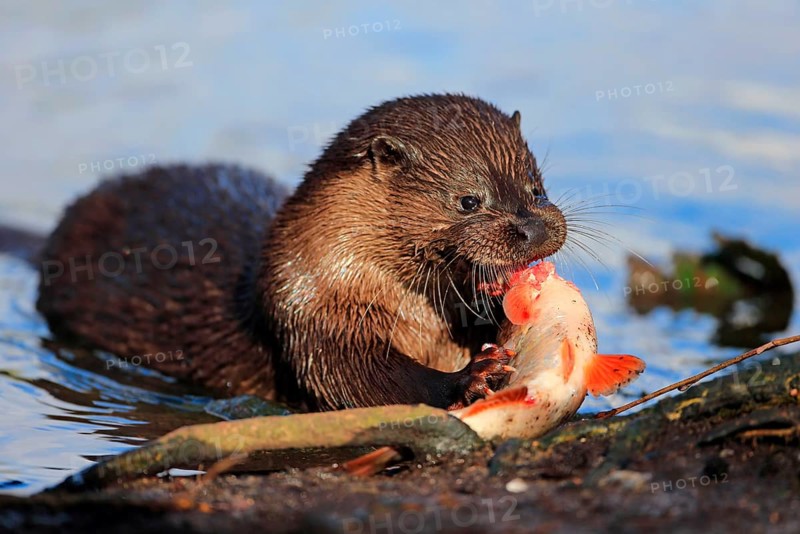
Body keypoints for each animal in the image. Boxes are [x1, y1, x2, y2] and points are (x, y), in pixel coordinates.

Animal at [36, 94, 567, 411]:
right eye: (468, 201)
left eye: (536, 187)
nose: (534, 227)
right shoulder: (308, 311)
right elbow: (358, 379)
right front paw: (471, 377)